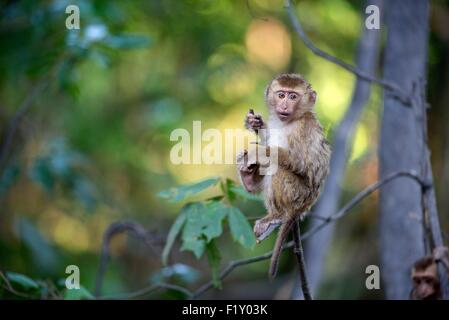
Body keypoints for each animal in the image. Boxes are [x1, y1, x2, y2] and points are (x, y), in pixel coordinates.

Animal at [238, 73, 328, 278]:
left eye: (293, 96)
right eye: (281, 95)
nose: (285, 105)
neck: (290, 121)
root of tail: (304, 206)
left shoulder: (302, 128)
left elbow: (304, 163)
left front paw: (260, 151)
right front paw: (255, 123)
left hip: (298, 194)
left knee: (278, 169)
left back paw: (276, 216)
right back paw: (249, 179)